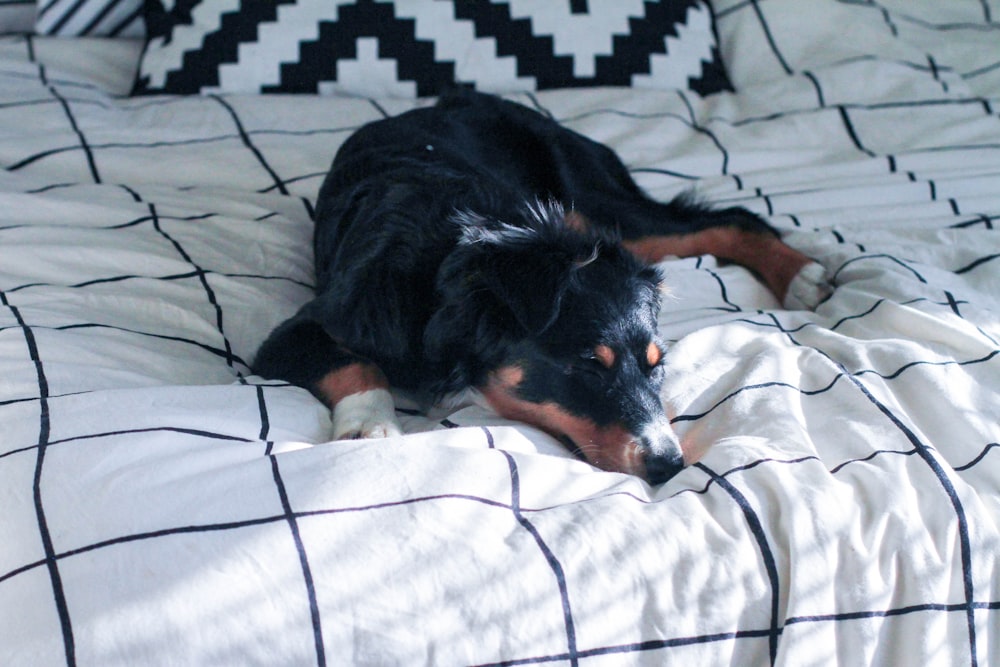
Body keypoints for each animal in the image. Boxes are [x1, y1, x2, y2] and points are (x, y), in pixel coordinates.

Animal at [256, 90, 828, 486]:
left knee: (731, 219)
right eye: (588, 366)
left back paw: (805, 275)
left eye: (656, 363)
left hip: (601, 207)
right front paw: (370, 426)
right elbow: (358, 365)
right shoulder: (293, 333)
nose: (670, 464)